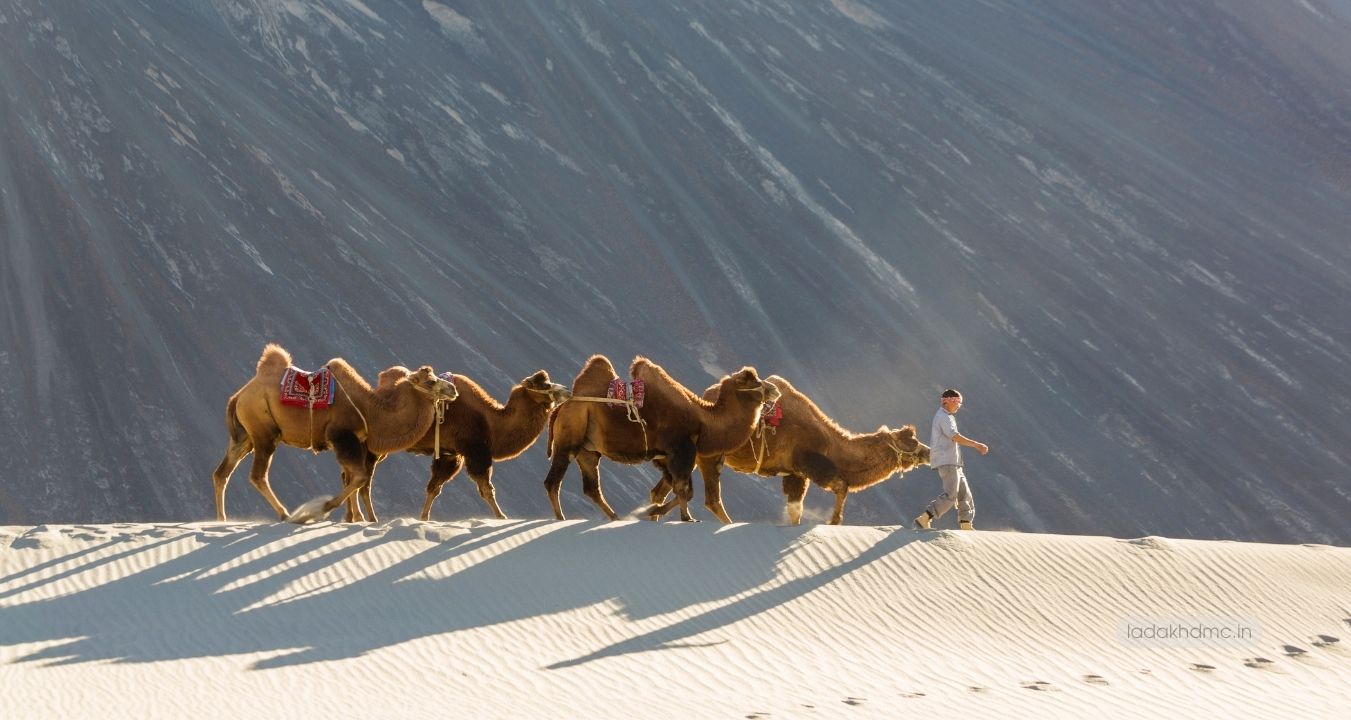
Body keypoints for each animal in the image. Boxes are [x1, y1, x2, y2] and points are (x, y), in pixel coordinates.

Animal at [211, 343, 458, 523]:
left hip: (244, 435)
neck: (371, 410)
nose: (453, 389)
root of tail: (238, 396)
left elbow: (349, 477)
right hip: (263, 431)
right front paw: (323, 508)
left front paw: (353, 518)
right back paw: (286, 515)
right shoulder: (342, 436)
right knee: (257, 475)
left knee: (222, 473)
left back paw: (222, 520)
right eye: (431, 381)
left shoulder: (352, 442)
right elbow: (359, 477)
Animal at [544, 355, 779, 521]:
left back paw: (615, 517)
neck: (706, 422)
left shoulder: (664, 457)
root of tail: (561, 408)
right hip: (569, 438)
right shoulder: (681, 451)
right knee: (553, 482)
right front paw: (686, 519)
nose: (775, 389)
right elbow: (684, 490)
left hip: (588, 449)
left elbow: (676, 491)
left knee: (592, 487)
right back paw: (561, 518)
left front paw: (653, 512)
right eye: (750, 380)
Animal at [649, 374, 931, 525]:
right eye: (910, 440)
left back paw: (654, 515)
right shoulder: (809, 462)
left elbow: (796, 510)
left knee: (663, 489)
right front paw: (833, 522)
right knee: (710, 499)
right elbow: (841, 486)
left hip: (690, 453)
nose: (928, 452)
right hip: (710, 455)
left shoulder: (795, 474)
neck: (832, 445)